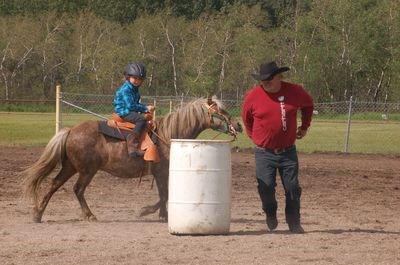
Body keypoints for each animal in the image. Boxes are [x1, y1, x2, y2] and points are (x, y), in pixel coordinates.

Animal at [23, 96, 242, 222]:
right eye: (220, 111)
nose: (238, 125)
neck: (168, 134)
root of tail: (70, 131)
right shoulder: (160, 171)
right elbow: (164, 194)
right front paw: (149, 212)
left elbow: (165, 194)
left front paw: (161, 214)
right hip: (86, 170)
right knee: (78, 189)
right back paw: (89, 215)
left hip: (71, 167)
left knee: (54, 184)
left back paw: (38, 214)